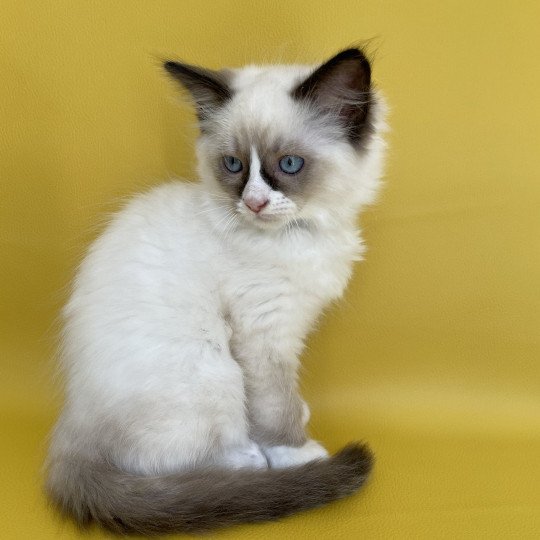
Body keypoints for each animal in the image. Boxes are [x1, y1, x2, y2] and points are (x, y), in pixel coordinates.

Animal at [45, 47, 384, 536]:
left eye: (289, 164)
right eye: (234, 165)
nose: (254, 203)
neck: (297, 235)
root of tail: (71, 426)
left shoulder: (292, 326)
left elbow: (287, 399)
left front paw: (300, 419)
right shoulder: (264, 332)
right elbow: (276, 405)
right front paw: (296, 454)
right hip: (214, 371)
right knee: (163, 465)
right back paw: (249, 462)